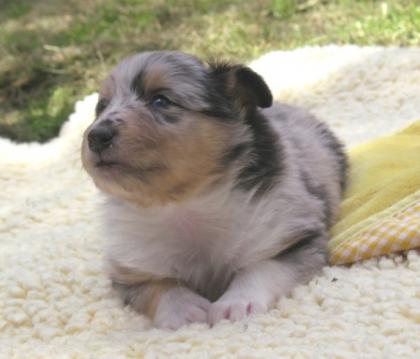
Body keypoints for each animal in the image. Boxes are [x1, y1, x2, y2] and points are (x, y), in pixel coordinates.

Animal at [82, 51, 348, 332]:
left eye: (160, 99)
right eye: (101, 108)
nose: (96, 135)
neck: (187, 203)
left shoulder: (295, 237)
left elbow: (262, 267)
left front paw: (236, 305)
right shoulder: (131, 270)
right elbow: (159, 286)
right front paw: (185, 311)